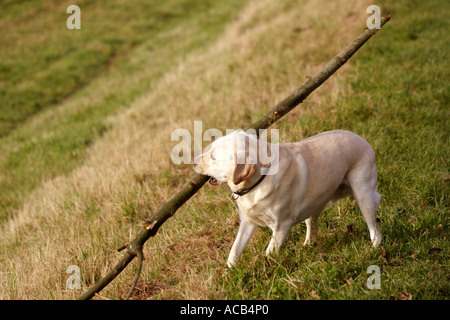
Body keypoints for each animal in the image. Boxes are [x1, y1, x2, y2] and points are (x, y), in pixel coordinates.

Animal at [192, 130, 382, 268]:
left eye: (213, 157)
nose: (192, 161)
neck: (260, 179)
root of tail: (360, 138)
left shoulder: (281, 226)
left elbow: (269, 252)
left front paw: (265, 267)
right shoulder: (248, 222)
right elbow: (234, 250)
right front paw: (229, 271)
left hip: (364, 195)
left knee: (374, 228)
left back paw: (374, 249)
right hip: (314, 204)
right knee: (312, 225)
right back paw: (308, 245)